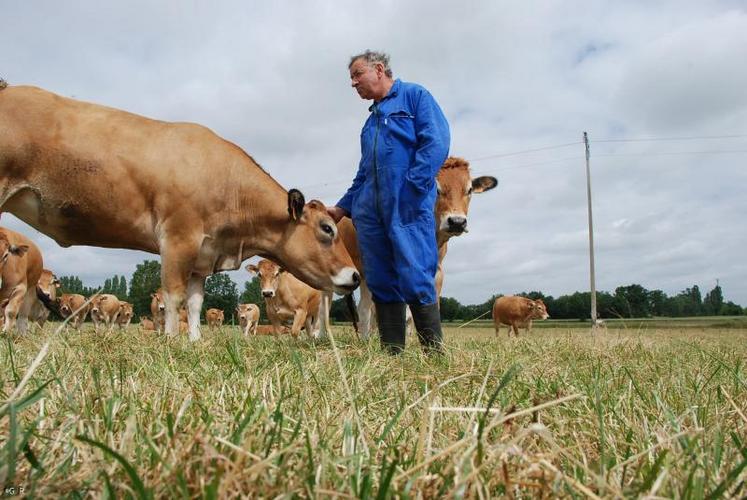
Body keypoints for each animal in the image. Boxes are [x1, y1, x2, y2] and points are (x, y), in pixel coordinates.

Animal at [0, 84, 360, 340]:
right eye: (327, 228)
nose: (356, 276)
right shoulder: (178, 239)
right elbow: (174, 297)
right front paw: (172, 341)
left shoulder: (204, 255)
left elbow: (195, 302)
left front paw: (195, 341)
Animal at [318, 158, 500, 342]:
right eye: (435, 188)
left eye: (469, 190)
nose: (457, 222)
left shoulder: (437, 273)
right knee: (331, 306)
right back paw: (327, 337)